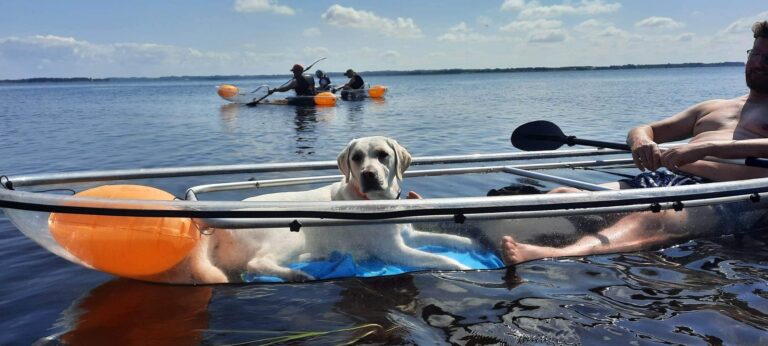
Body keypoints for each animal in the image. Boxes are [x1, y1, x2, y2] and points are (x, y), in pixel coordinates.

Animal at [159, 136, 474, 284]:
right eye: (357, 157)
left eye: (383, 155)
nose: (368, 174)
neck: (376, 199)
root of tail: (217, 229)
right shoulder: (394, 251)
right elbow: (439, 258)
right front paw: (462, 266)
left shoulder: (407, 235)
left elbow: (446, 239)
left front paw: (468, 243)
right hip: (290, 233)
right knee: (257, 264)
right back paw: (299, 275)